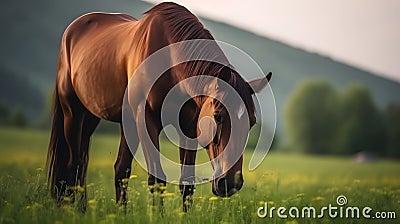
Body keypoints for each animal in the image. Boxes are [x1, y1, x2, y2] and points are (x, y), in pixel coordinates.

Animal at [47, 2, 272, 212]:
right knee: (74, 164)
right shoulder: (146, 120)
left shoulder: (189, 126)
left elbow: (186, 182)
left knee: (115, 168)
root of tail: (72, 30)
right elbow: (157, 179)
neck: (170, 59)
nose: (231, 183)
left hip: (100, 119)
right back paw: (72, 209)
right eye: (218, 116)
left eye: (252, 123)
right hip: (73, 113)